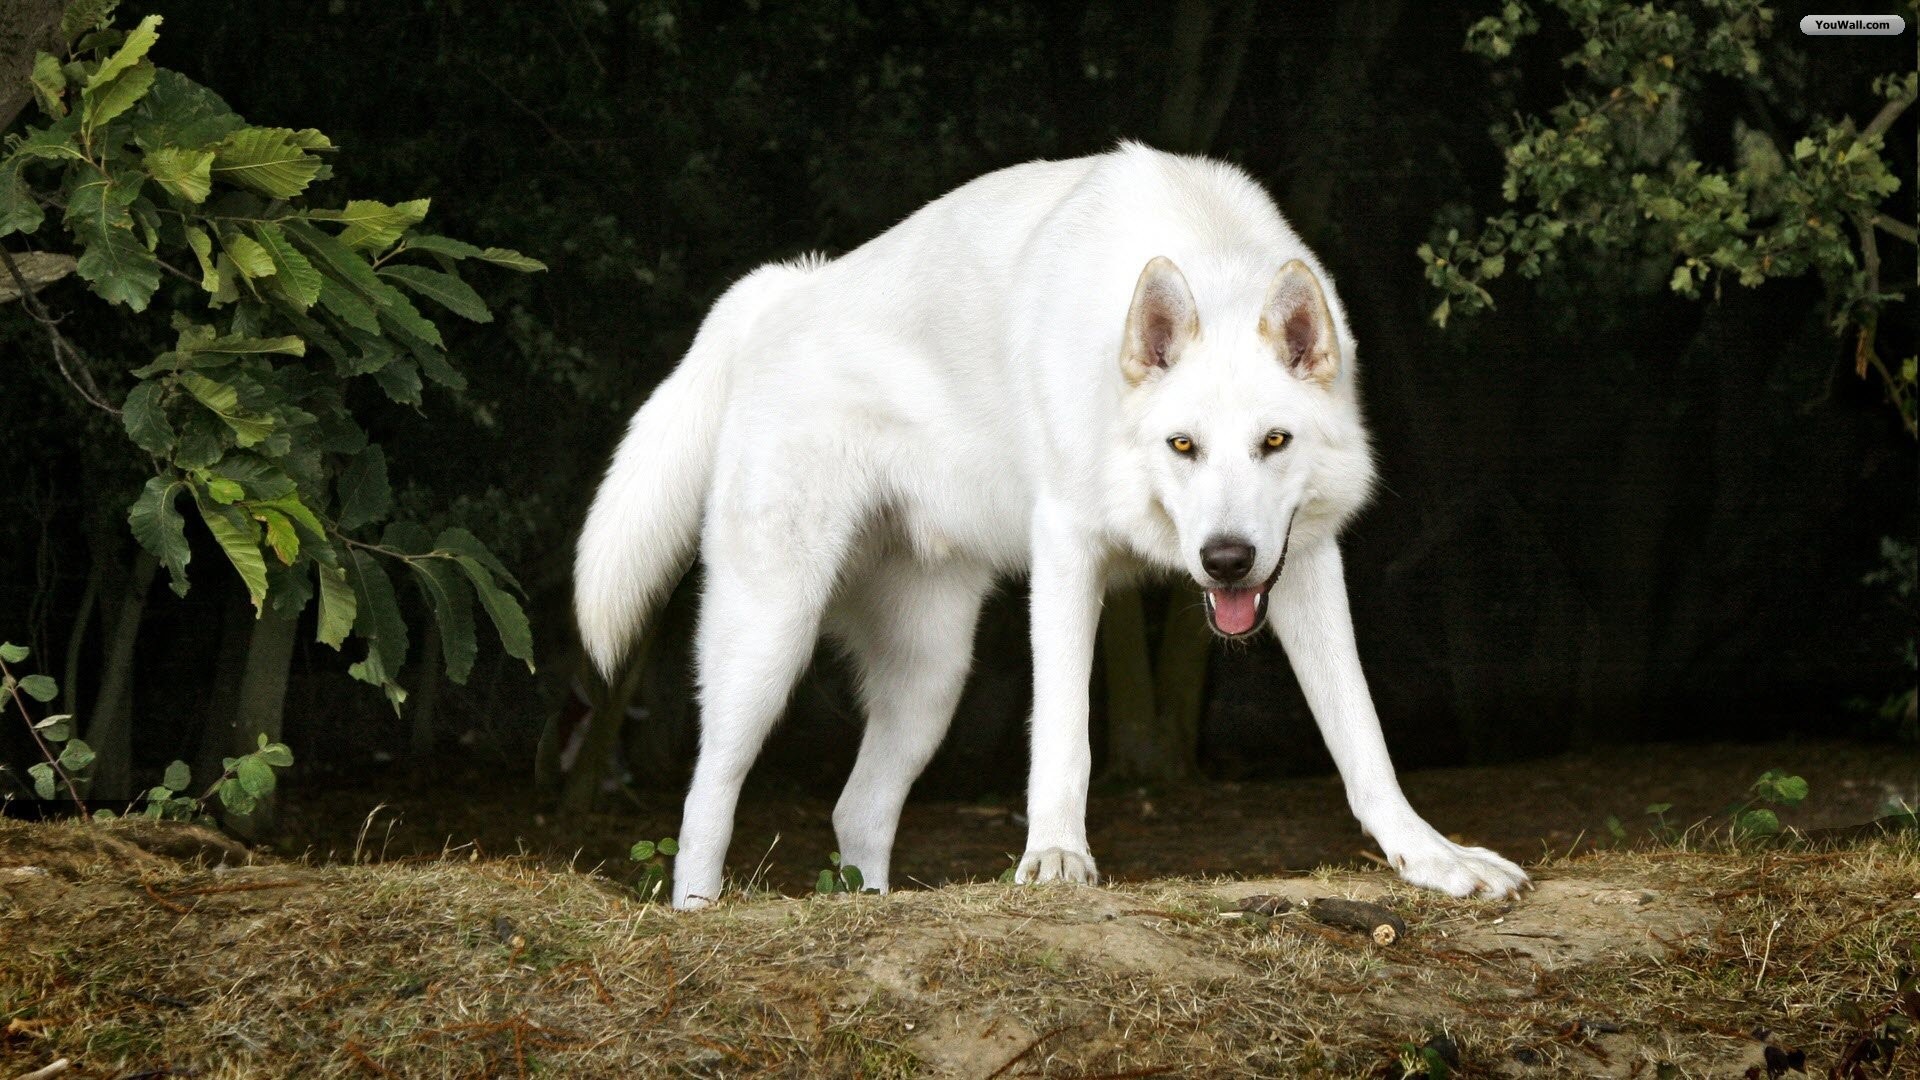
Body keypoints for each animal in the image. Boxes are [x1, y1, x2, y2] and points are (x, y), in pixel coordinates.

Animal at [575, 142, 1530, 909]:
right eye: (1183, 445)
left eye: (1274, 442)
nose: (1225, 560)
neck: (1205, 254)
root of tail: (782, 288)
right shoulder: (1069, 550)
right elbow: (1064, 735)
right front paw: (1057, 861)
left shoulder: (1304, 562)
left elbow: (1362, 737)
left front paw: (1432, 858)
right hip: (768, 643)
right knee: (705, 799)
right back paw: (698, 913)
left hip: (931, 680)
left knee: (858, 810)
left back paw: (871, 908)